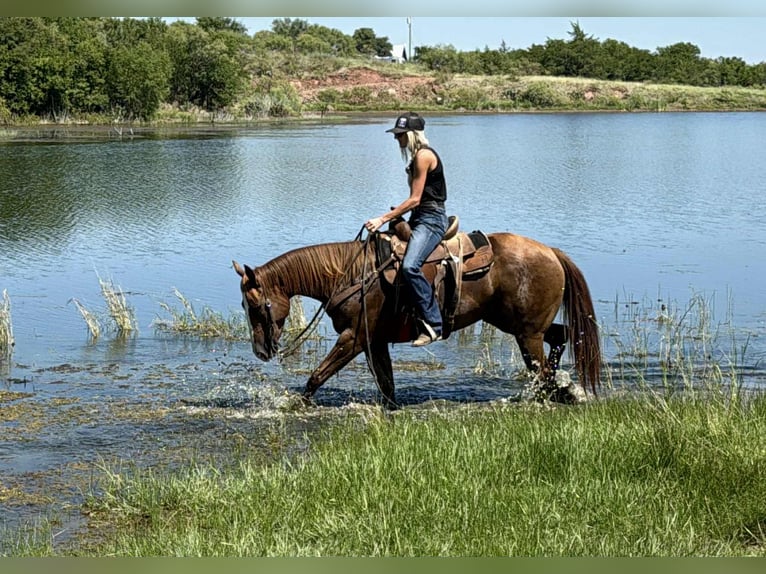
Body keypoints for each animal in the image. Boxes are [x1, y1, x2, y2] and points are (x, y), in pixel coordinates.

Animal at [233, 231, 601, 408]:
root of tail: (551, 252)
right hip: (519, 326)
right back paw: (564, 390)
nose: (261, 351)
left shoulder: (353, 339)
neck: (351, 274)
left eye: (256, 305)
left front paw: (291, 404)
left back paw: (554, 391)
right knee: (562, 337)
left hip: (526, 333)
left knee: (543, 365)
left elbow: (317, 375)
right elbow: (386, 384)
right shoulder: (374, 342)